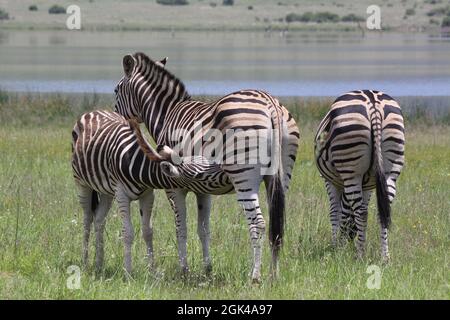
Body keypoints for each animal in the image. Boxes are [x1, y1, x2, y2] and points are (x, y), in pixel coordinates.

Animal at [73, 110, 232, 272]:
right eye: (199, 175)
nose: (229, 174)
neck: (136, 165)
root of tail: (94, 111)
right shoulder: (121, 194)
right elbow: (127, 232)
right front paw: (128, 272)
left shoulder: (148, 194)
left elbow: (148, 231)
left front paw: (152, 270)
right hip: (82, 184)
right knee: (87, 220)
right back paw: (85, 262)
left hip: (106, 192)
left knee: (99, 219)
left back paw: (99, 264)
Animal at [112, 51, 298, 282]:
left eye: (116, 90)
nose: (117, 119)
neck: (166, 114)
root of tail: (270, 102)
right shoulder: (203, 189)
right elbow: (203, 229)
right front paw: (207, 268)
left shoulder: (173, 186)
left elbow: (181, 228)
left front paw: (184, 270)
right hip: (282, 176)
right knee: (276, 224)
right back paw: (274, 275)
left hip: (243, 176)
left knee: (258, 223)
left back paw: (255, 276)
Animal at [314, 89, 406, 260]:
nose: (350, 239)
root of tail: (373, 102)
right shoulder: (369, 185)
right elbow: (348, 210)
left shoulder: (330, 182)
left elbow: (336, 212)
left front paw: (336, 246)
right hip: (391, 168)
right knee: (382, 213)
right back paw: (385, 257)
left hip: (351, 169)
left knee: (362, 213)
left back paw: (360, 254)